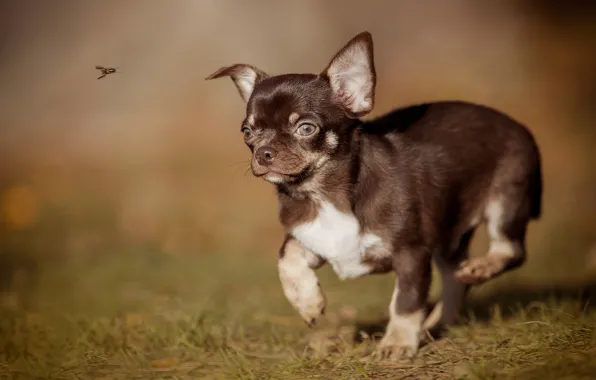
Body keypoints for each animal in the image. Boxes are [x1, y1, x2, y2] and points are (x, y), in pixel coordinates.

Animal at [207, 30, 544, 360]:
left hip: (506, 199)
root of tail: (519, 126)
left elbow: (406, 301)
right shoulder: (314, 239)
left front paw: (397, 343)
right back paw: (435, 322)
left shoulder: (411, 253)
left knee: (511, 249)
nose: (263, 153)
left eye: (306, 128)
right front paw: (307, 301)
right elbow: (286, 256)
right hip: (450, 230)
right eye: (247, 132)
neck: (324, 193)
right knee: (454, 278)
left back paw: (477, 271)